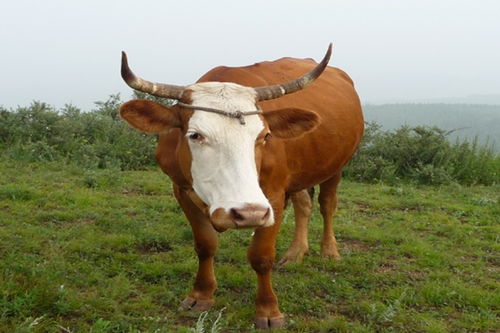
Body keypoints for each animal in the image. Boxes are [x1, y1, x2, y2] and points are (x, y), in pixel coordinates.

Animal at [119, 44, 366, 330]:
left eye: (265, 136)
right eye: (195, 135)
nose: (247, 213)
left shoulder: (273, 197)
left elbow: (261, 256)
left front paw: (268, 311)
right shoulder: (181, 190)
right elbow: (205, 245)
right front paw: (200, 295)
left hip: (337, 164)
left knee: (327, 205)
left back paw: (329, 251)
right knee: (304, 205)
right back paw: (295, 253)